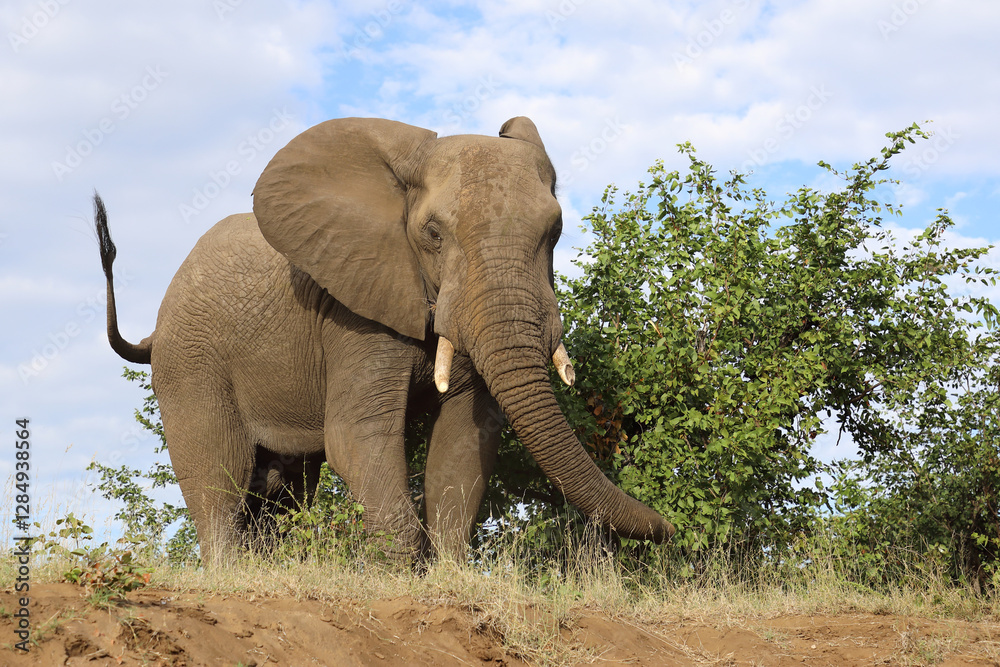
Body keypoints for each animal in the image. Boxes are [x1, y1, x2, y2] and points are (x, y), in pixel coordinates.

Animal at [96, 116, 674, 565]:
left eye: (554, 232)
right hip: (189, 361)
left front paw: (449, 577)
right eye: (433, 235)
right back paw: (232, 575)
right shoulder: (354, 313)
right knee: (221, 476)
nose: (670, 529)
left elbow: (463, 442)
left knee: (285, 487)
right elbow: (356, 436)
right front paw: (403, 576)